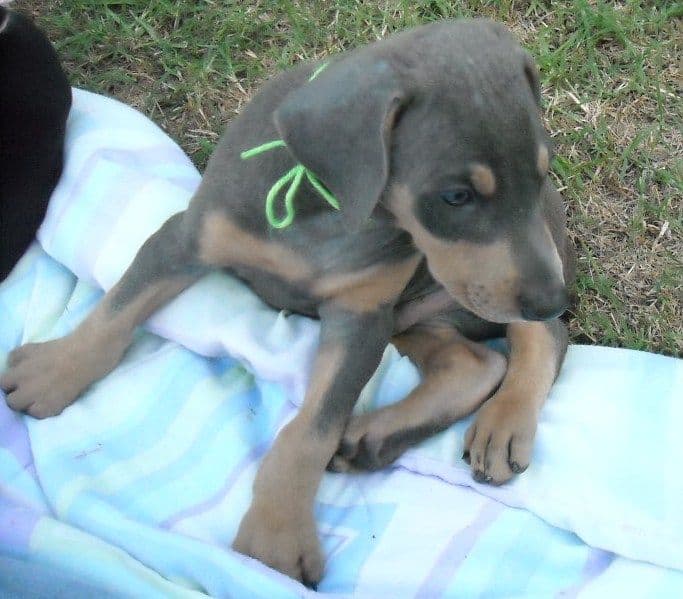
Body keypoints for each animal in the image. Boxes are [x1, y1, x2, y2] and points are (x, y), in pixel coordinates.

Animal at [1, 21, 576, 588]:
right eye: (456, 196)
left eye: (541, 174)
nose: (554, 299)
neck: (324, 206)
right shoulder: (187, 238)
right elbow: (118, 310)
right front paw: (54, 371)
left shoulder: (360, 319)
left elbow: (311, 431)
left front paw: (277, 538)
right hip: (413, 316)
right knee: (477, 361)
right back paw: (374, 436)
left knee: (539, 341)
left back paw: (503, 422)